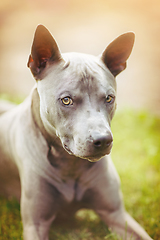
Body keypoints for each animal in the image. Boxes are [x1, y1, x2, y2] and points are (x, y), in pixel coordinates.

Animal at [0, 24, 152, 240]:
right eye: (66, 100)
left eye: (109, 98)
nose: (103, 140)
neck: (70, 164)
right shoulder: (35, 224)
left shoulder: (117, 214)